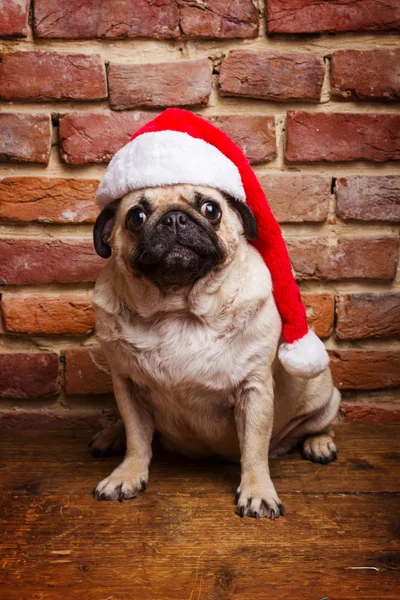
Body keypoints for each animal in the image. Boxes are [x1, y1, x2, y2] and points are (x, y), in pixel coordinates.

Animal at [89, 184, 340, 520]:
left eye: (211, 210)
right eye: (136, 217)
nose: (175, 218)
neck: (177, 309)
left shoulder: (254, 390)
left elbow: (254, 450)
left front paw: (258, 492)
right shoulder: (126, 385)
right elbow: (137, 439)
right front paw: (126, 475)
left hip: (323, 393)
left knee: (321, 424)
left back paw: (320, 444)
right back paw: (110, 435)